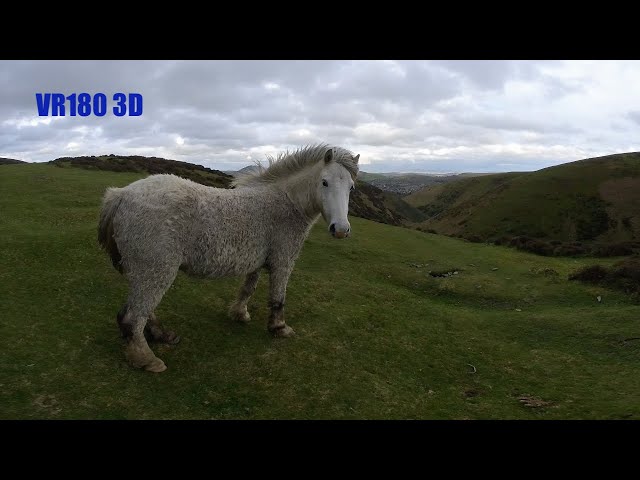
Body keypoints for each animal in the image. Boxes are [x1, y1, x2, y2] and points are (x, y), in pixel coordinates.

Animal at [99, 144, 360, 374]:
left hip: (146, 272)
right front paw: (279, 328)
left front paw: (239, 314)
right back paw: (146, 359)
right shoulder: (283, 260)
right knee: (133, 317)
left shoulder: (257, 260)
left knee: (143, 310)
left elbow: (248, 289)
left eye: (351, 187)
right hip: (158, 269)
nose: (341, 230)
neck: (285, 202)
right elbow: (278, 298)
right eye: (324, 182)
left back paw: (161, 336)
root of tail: (121, 195)